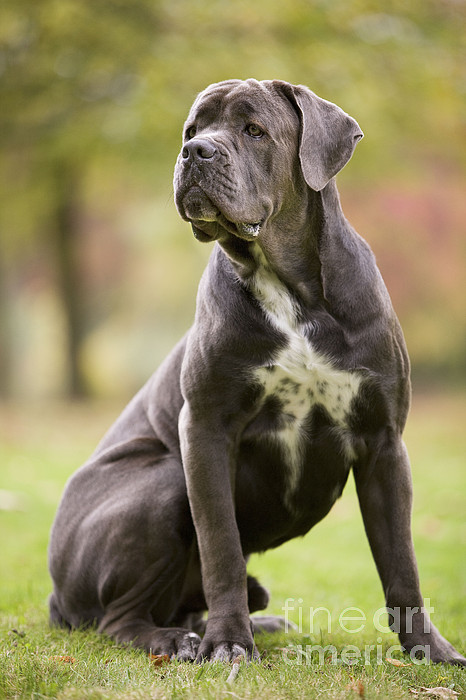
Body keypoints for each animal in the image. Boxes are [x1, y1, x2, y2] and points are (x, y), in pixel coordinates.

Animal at [49, 79, 464, 664]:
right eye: (193, 129)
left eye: (254, 131)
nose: (195, 152)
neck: (288, 286)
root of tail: (55, 595)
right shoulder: (205, 430)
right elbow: (220, 545)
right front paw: (227, 644)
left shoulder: (383, 441)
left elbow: (401, 561)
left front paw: (430, 649)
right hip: (164, 480)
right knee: (119, 618)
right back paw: (180, 640)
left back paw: (254, 624)